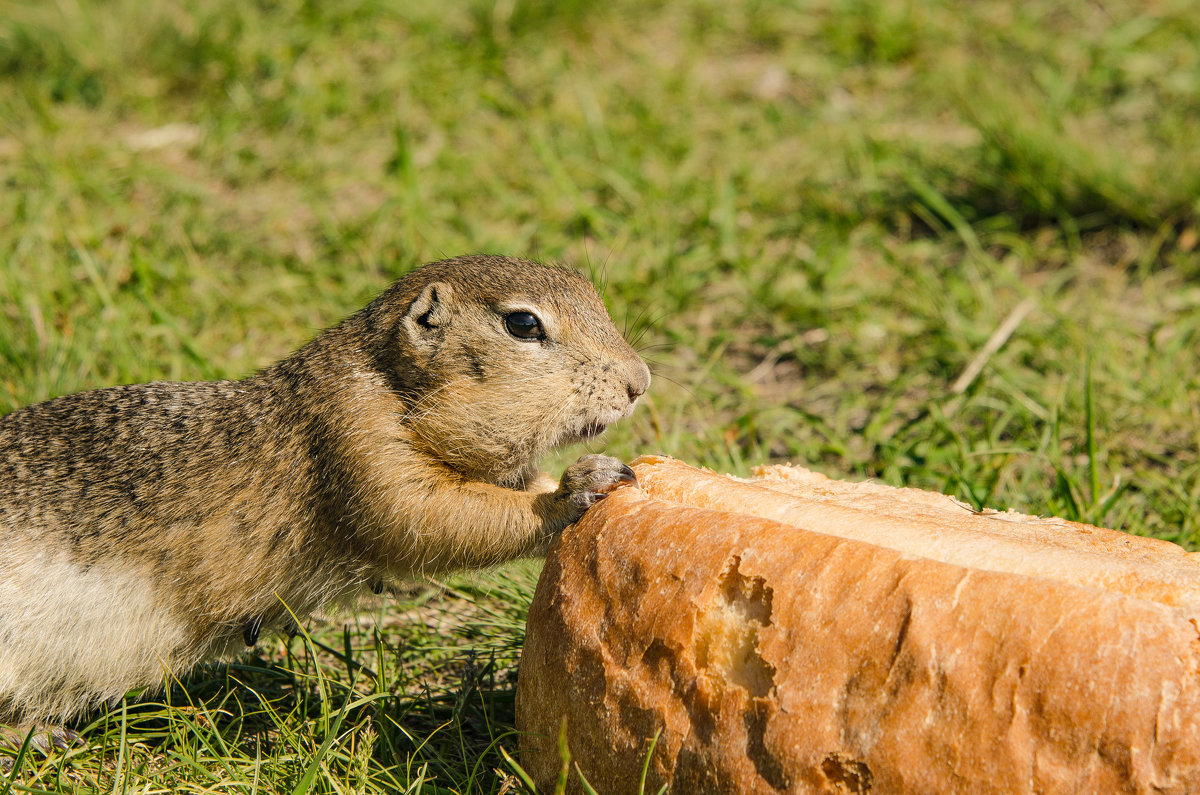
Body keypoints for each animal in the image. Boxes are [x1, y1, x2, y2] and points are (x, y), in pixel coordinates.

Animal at [0, 255, 652, 734]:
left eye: (587, 286)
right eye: (523, 324)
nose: (639, 382)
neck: (386, 385)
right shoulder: (356, 445)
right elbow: (434, 518)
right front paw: (574, 491)